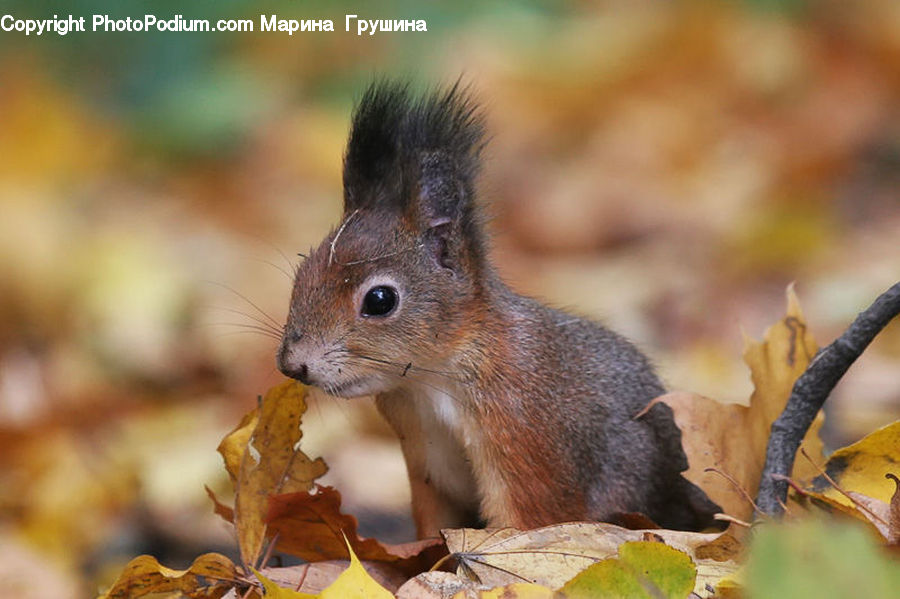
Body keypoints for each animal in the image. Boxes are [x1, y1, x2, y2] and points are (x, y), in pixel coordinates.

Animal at [277, 81, 720, 538]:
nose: (293, 365)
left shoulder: (525, 435)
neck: (433, 380)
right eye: (301, 274)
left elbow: (524, 525)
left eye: (380, 300)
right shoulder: (425, 463)